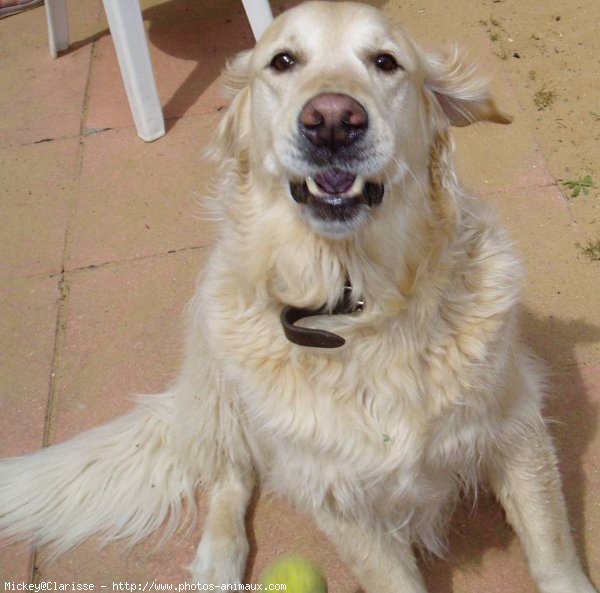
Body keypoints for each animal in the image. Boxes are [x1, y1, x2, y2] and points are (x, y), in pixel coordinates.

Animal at [1, 2, 600, 588]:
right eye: (283, 61)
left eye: (385, 62)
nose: (332, 120)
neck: (355, 299)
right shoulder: (335, 493)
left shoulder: (517, 426)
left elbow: (553, 553)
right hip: (224, 387)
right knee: (231, 473)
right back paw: (218, 558)